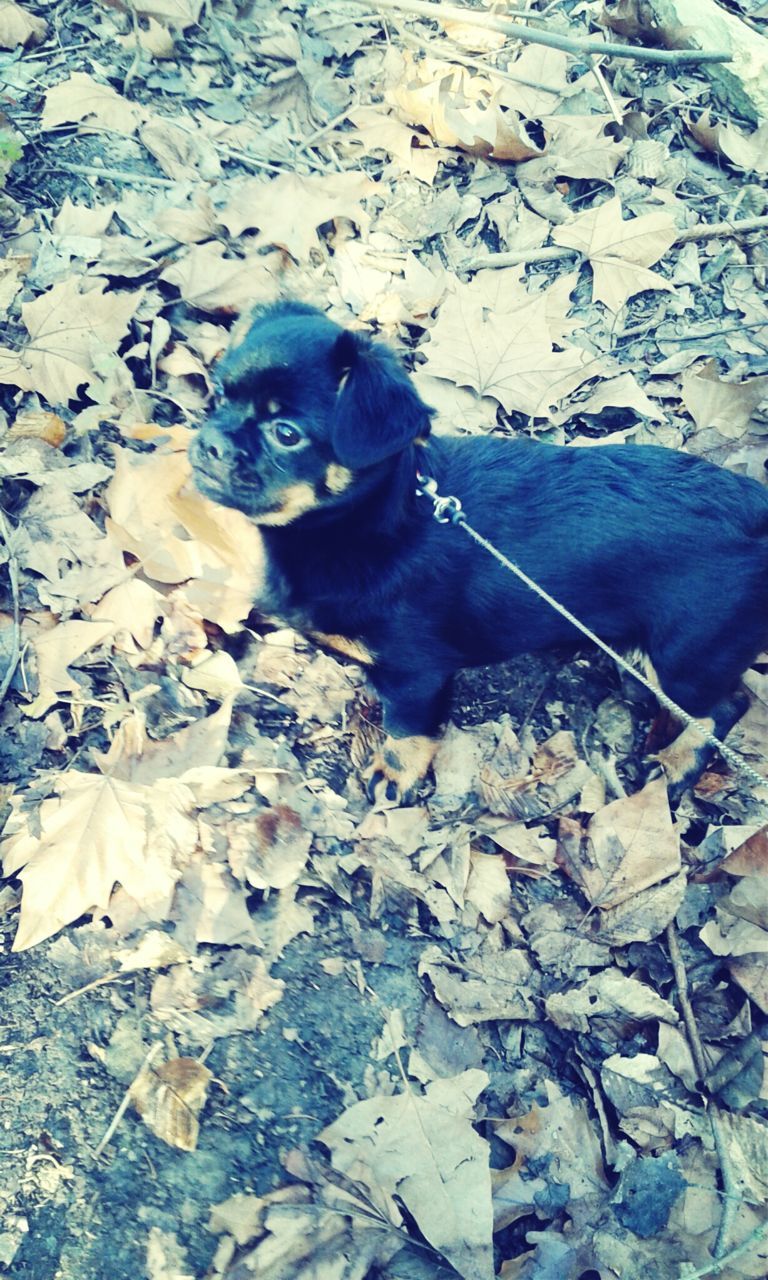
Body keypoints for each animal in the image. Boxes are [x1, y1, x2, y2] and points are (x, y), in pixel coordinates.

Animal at [190, 299, 768, 798]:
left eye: (286, 433)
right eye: (218, 394)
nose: (209, 443)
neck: (362, 526)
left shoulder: (415, 674)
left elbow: (406, 729)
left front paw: (394, 773)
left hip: (684, 657)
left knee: (724, 707)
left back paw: (676, 766)